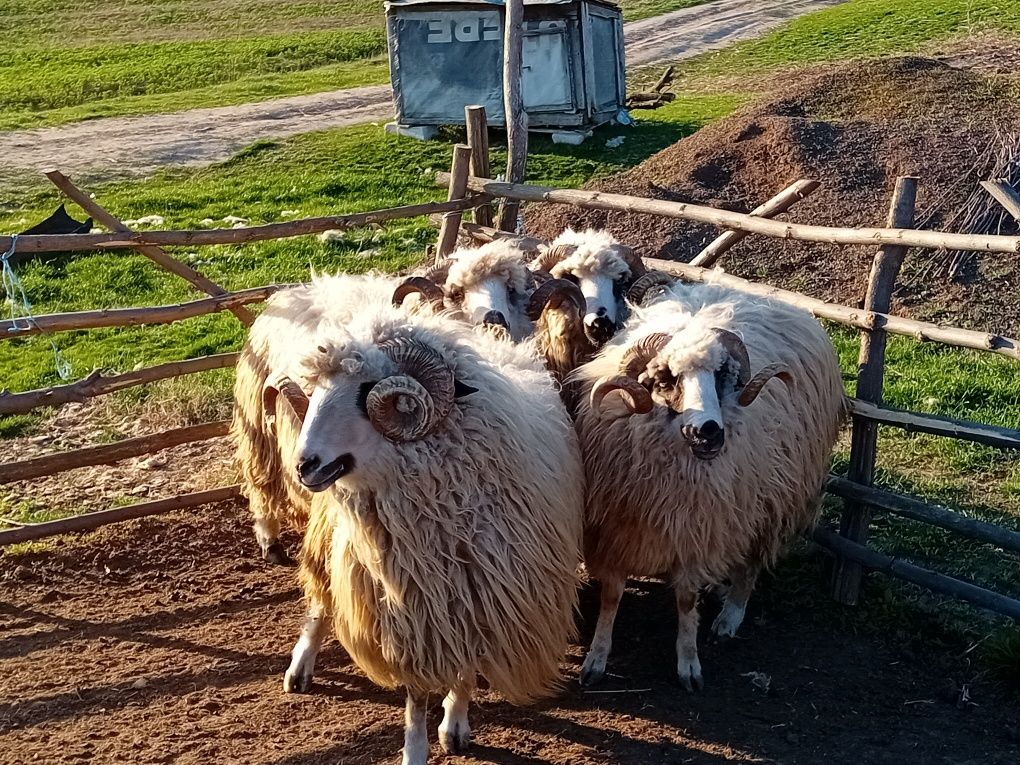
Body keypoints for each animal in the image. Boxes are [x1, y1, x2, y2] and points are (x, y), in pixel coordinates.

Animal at [283, 299, 587, 762]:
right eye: (317, 388)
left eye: (366, 390)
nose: (304, 465)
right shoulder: (410, 612)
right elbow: (416, 695)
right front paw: (415, 748)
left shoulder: (473, 600)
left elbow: (465, 672)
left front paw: (455, 723)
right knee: (320, 601)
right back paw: (299, 666)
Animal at [575, 279, 844, 689]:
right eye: (665, 379)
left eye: (723, 376)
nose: (709, 431)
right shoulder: (617, 527)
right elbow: (612, 595)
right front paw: (596, 659)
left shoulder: (698, 529)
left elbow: (687, 600)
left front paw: (689, 663)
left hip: (771, 500)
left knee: (751, 563)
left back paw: (729, 617)